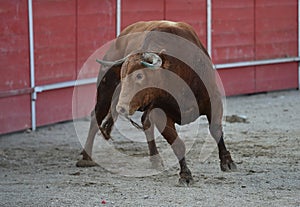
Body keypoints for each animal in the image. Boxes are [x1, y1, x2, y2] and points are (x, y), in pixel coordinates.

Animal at [76, 20, 236, 186]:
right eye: (122, 75)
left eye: (139, 76)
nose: (121, 107)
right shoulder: (160, 113)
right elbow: (178, 144)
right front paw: (185, 175)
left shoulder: (214, 101)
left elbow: (215, 130)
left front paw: (227, 162)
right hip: (105, 92)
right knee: (96, 117)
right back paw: (86, 157)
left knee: (144, 122)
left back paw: (155, 159)